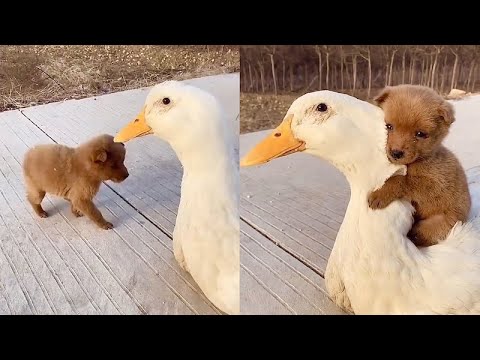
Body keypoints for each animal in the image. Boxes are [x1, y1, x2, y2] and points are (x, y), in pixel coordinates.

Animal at [370, 86, 470, 246]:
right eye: (389, 126)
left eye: (420, 134)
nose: (396, 153)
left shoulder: (435, 184)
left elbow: (401, 180)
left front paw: (380, 194)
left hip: (440, 222)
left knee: (421, 235)